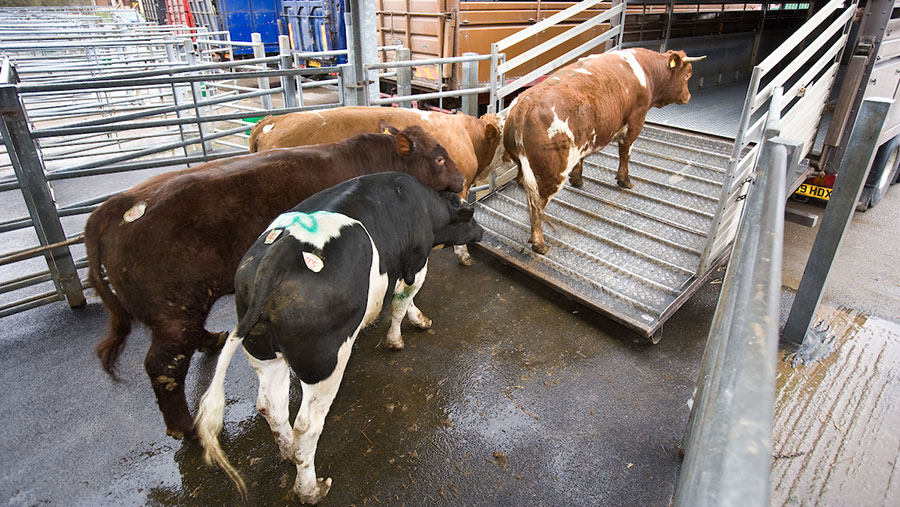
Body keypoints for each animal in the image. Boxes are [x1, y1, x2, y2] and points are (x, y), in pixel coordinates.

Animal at [85, 124, 464, 440]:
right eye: (439, 156)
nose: (462, 179)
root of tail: (116, 204)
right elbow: (404, 292)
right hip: (173, 312)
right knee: (163, 365)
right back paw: (185, 427)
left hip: (182, 310)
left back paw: (211, 340)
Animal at [193, 174, 482, 504]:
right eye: (470, 216)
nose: (482, 232)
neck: (423, 205)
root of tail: (275, 259)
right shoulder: (415, 265)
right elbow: (400, 303)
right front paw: (397, 339)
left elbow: (405, 302)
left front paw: (419, 319)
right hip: (325, 365)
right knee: (307, 425)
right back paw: (310, 488)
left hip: (263, 352)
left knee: (271, 405)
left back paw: (288, 452)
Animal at [506, 48, 704, 254]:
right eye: (687, 74)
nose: (688, 96)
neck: (646, 71)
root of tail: (525, 102)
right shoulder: (636, 121)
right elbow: (625, 153)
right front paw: (624, 180)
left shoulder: (585, 140)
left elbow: (582, 159)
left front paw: (577, 179)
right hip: (552, 172)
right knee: (537, 205)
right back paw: (540, 244)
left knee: (524, 187)